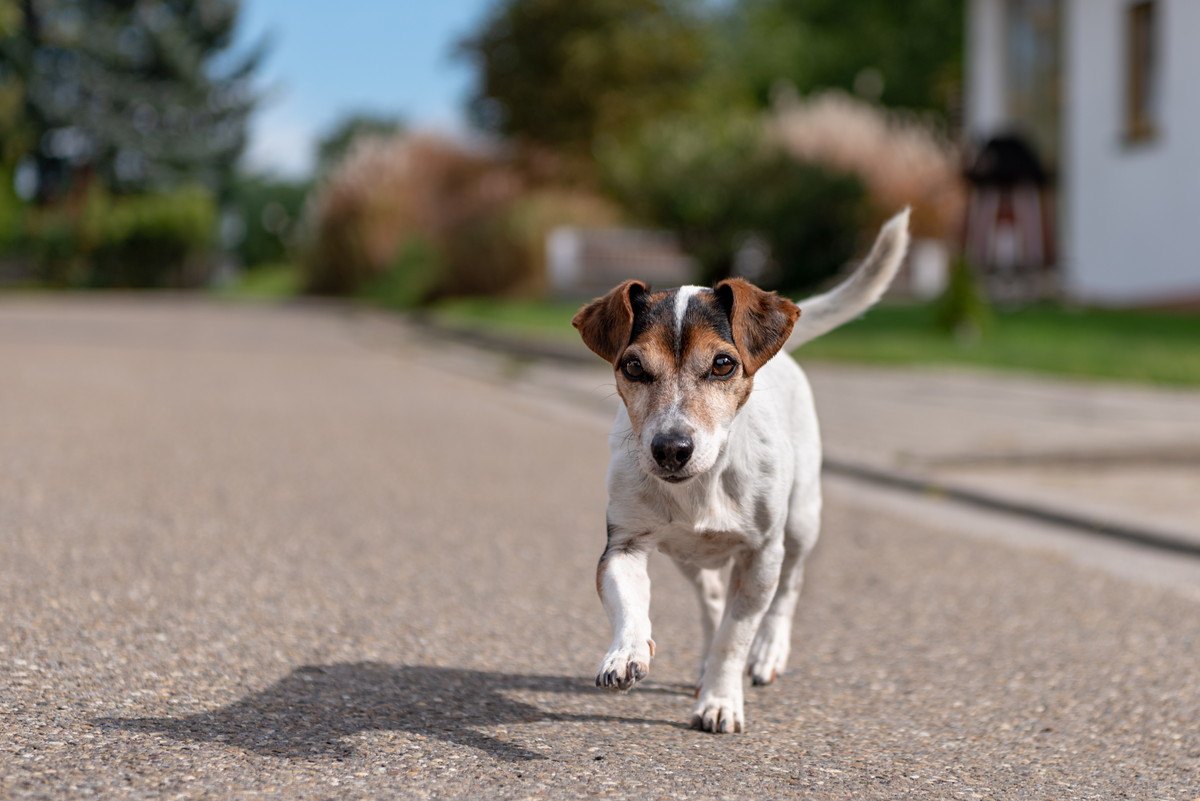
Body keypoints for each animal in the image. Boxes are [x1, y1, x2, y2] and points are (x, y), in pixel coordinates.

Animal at [571, 209, 907, 733]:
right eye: (634, 367)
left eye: (723, 364)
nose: (671, 449)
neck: (703, 487)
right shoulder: (623, 544)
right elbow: (632, 604)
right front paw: (626, 653)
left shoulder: (761, 556)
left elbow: (736, 634)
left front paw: (721, 701)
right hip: (687, 557)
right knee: (710, 600)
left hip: (801, 522)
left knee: (790, 587)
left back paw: (769, 652)